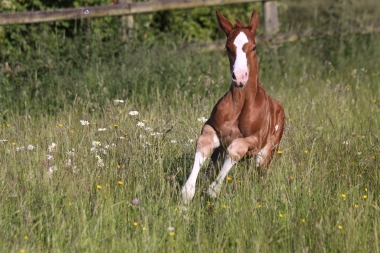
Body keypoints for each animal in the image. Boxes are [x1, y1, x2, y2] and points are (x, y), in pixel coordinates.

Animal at [182, 9, 284, 206]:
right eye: (228, 48)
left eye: (254, 47)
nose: (239, 77)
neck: (240, 106)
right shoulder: (212, 129)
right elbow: (203, 144)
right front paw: (188, 191)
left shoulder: (255, 140)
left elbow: (236, 147)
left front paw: (213, 191)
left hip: (265, 155)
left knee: (259, 171)